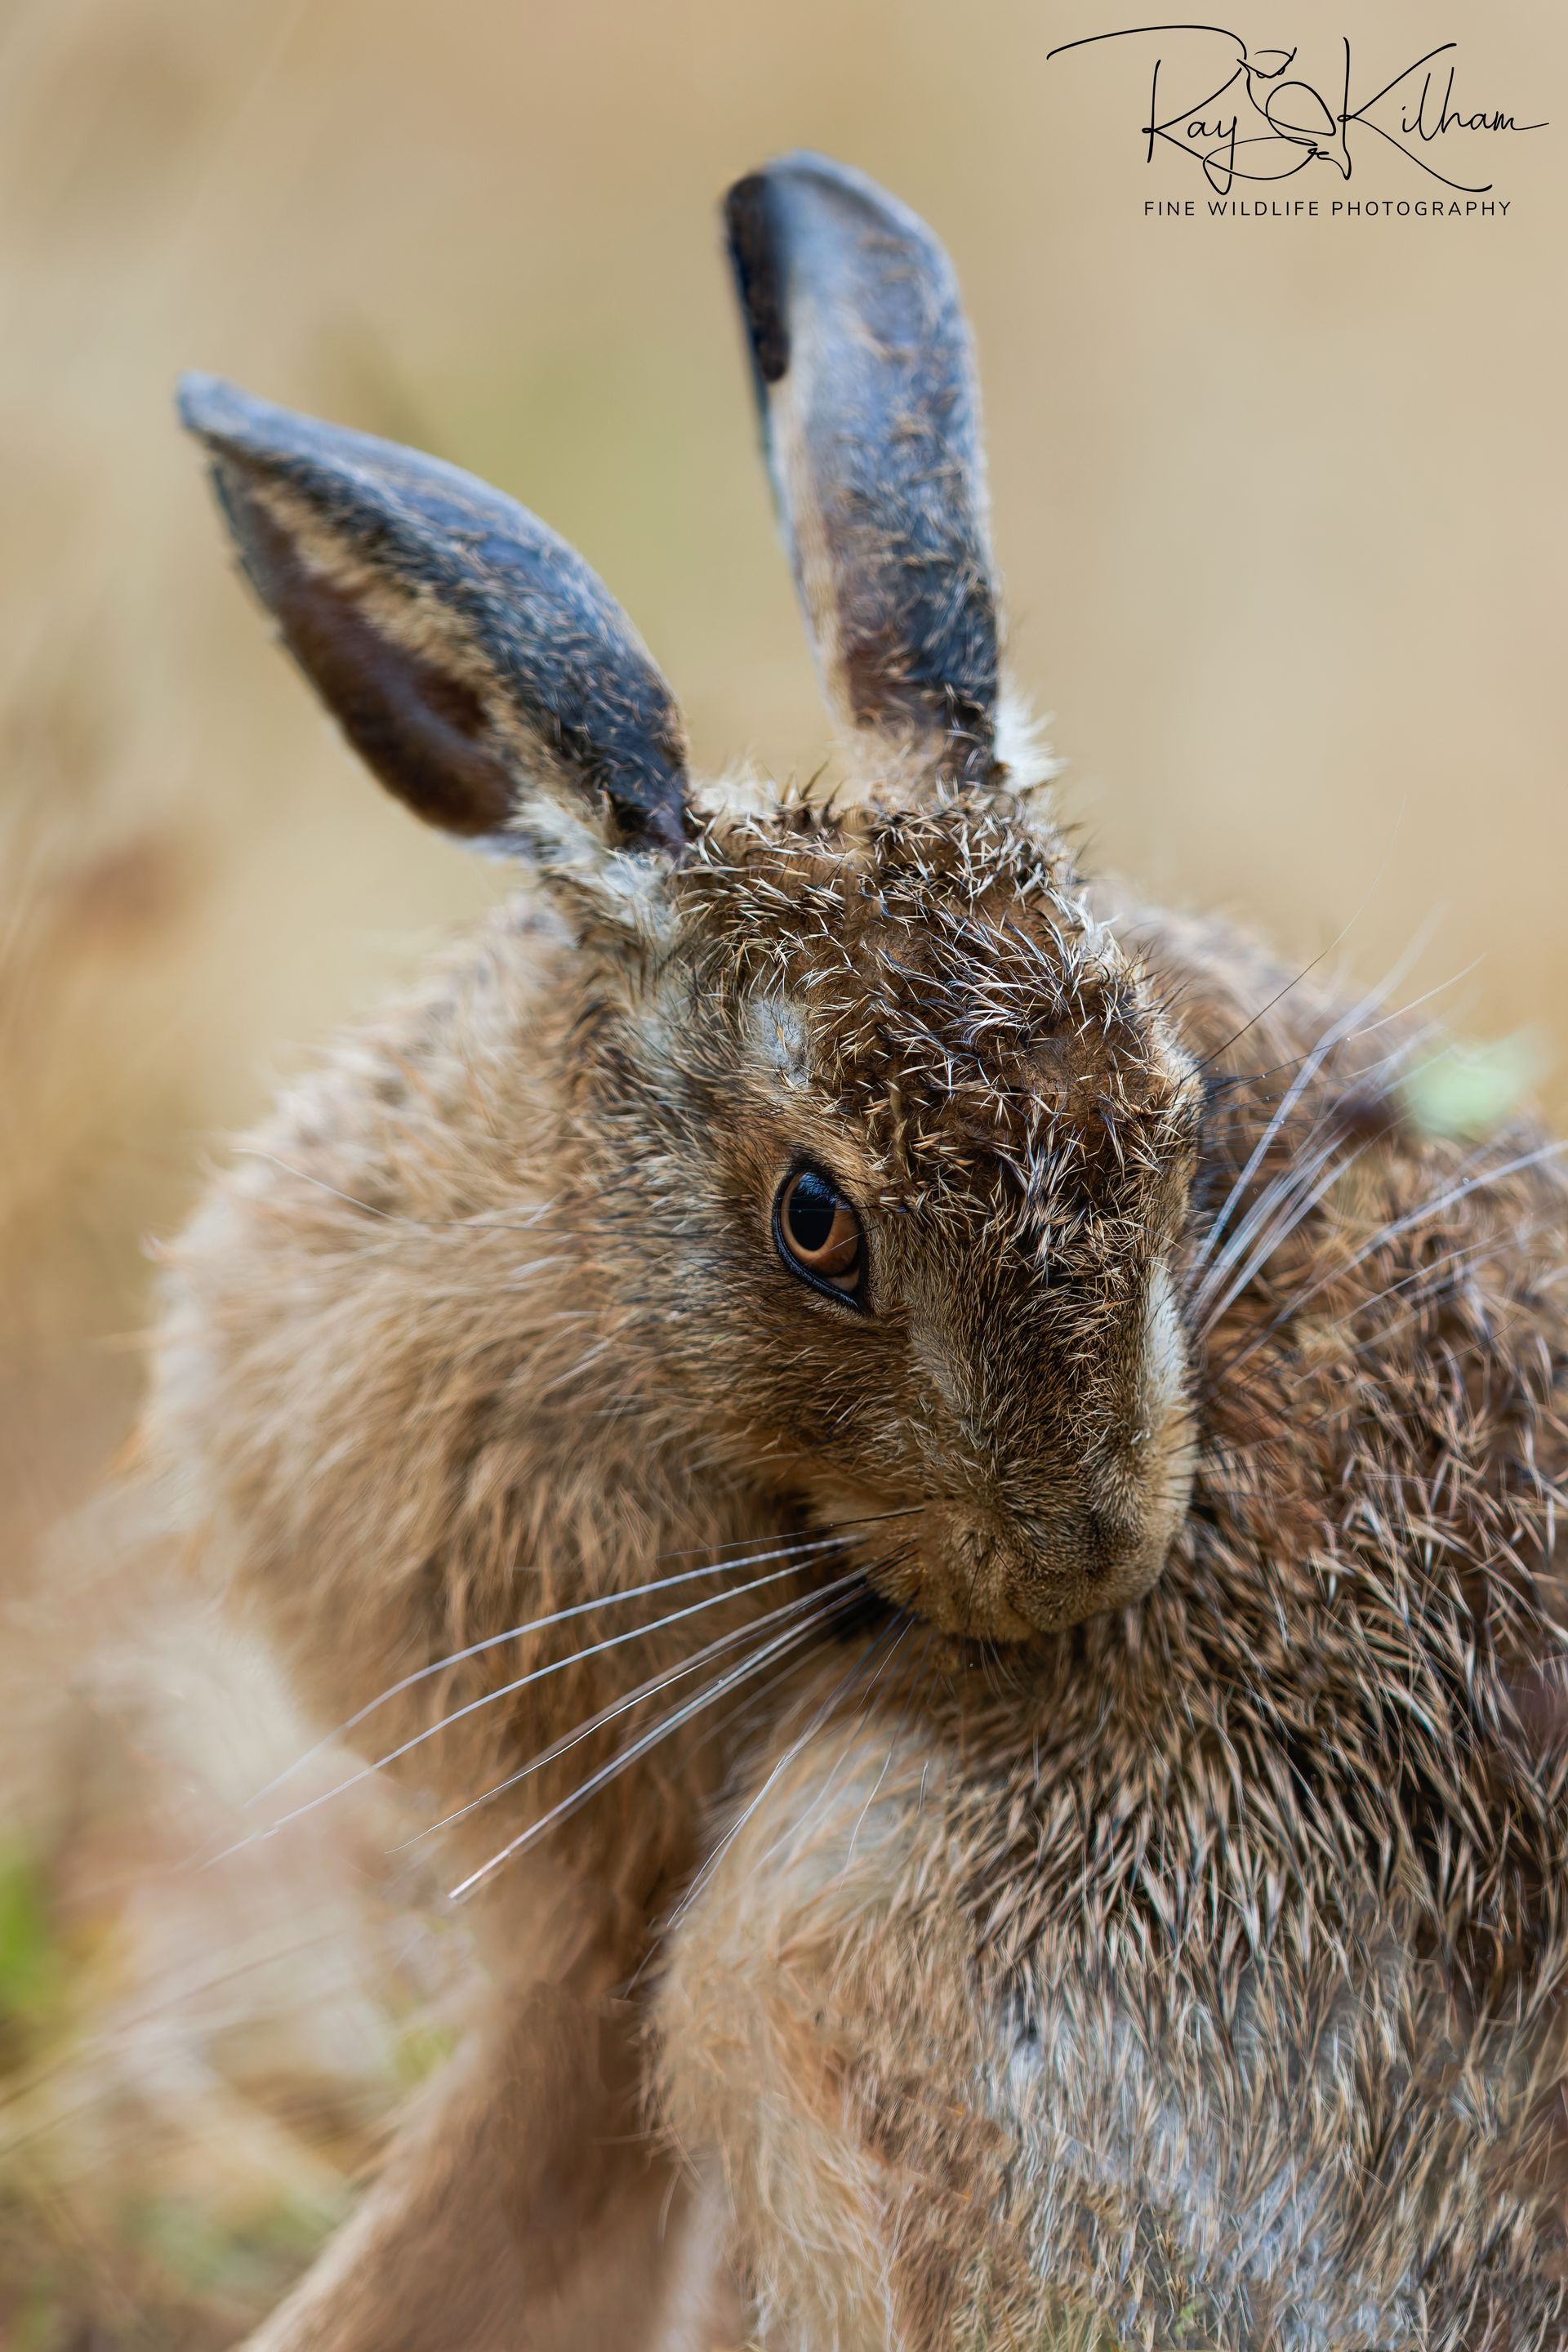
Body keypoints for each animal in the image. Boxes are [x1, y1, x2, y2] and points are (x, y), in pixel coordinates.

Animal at [150, 151, 1568, 2351]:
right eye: (817, 1224)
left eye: (1172, 1132)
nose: (1088, 1554)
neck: (588, 1274)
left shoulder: (609, 1909)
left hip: (829, 1919)